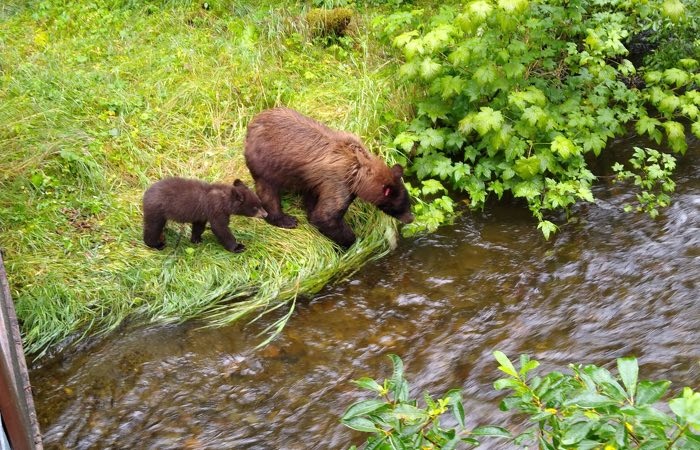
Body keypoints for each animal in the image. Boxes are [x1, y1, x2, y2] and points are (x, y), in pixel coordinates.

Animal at [243, 108, 412, 250]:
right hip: (265, 165)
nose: (411, 218)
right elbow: (325, 217)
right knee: (268, 192)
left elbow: (313, 204)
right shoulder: (339, 183)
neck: (359, 172)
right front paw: (353, 240)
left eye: (408, 201)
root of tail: (250, 125)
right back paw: (286, 220)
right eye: (400, 205)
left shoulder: (315, 183)